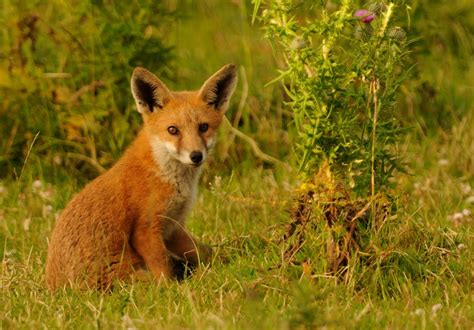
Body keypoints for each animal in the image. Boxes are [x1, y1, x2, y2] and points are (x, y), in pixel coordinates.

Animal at [45, 63, 237, 288]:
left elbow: (203, 252)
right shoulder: (145, 230)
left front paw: (230, 261)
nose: (196, 156)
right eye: (173, 130)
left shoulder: (172, 227)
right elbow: (163, 269)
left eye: (203, 127)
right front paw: (172, 290)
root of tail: (55, 288)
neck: (166, 176)